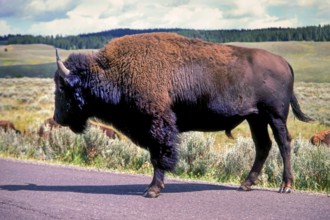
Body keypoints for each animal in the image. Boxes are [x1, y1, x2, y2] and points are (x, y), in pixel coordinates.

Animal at [52, 32, 314, 198]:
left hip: (275, 116)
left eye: (62, 88)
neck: (114, 70)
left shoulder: (158, 125)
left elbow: (159, 156)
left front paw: (152, 190)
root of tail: (284, 62)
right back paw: (245, 185)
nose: (57, 118)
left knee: (283, 143)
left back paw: (285, 186)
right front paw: (154, 187)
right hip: (255, 118)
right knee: (263, 145)